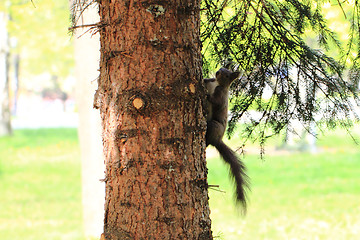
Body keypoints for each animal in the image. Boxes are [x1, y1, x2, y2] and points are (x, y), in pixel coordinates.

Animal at [204, 67, 249, 210]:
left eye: (227, 75)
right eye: (221, 68)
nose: (218, 72)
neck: (216, 83)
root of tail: (218, 140)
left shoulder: (220, 95)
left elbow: (215, 101)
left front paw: (205, 95)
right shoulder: (209, 81)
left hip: (214, 126)